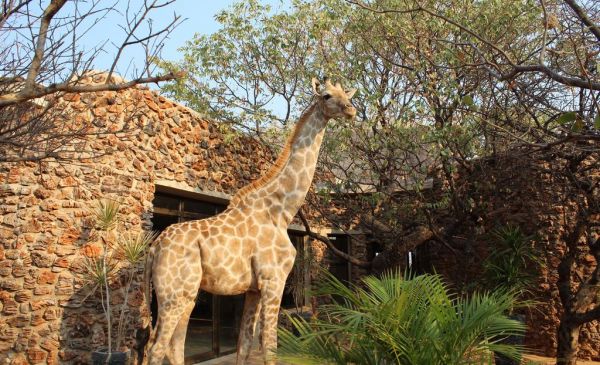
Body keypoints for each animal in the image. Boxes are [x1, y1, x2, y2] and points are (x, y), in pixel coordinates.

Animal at [142, 77, 354, 364]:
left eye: (347, 95)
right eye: (326, 96)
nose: (351, 110)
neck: (281, 212)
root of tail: (153, 248)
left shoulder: (253, 289)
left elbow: (244, 344)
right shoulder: (273, 280)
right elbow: (269, 345)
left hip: (186, 294)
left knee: (171, 345)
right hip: (174, 294)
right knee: (156, 348)